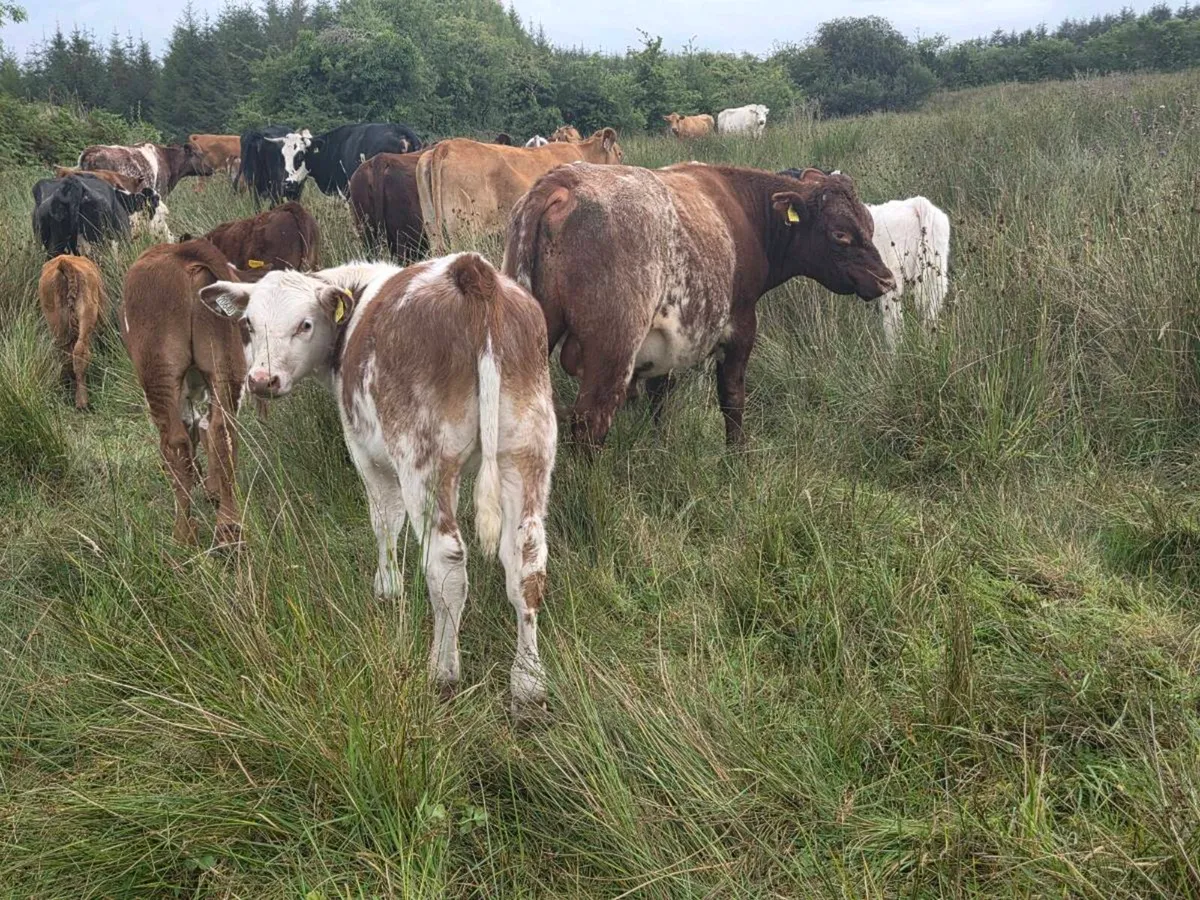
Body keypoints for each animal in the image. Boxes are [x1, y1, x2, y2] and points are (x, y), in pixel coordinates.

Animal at [38, 254, 108, 410]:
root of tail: (65, 263)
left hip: (57, 324)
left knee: (66, 355)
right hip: (88, 313)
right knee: (80, 352)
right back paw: (83, 402)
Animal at [120, 240, 248, 547]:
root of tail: (183, 254)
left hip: (157, 370)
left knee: (175, 442)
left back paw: (183, 534)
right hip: (225, 362)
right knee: (222, 430)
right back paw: (228, 528)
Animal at [197, 253, 557, 716]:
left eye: (305, 324)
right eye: (249, 324)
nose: (262, 380)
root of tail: (470, 271)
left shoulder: (369, 456)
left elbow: (384, 522)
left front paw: (387, 589)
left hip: (423, 461)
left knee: (446, 565)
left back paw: (443, 671)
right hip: (527, 452)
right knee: (526, 563)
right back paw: (528, 683)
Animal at [503, 165, 896, 448]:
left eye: (869, 224)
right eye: (840, 234)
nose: (886, 280)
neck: (744, 211)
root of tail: (562, 180)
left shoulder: (661, 345)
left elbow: (659, 397)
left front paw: (658, 446)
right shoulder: (740, 325)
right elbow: (732, 397)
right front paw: (737, 457)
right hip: (612, 345)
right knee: (590, 420)